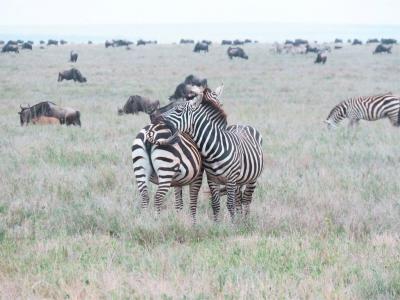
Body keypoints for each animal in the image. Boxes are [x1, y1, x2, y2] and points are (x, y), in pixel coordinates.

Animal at [149, 84, 262, 220]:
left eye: (178, 110)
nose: (154, 118)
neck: (214, 149)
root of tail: (241, 125)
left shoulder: (230, 179)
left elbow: (229, 204)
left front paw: (233, 224)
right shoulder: (212, 179)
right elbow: (215, 203)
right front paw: (218, 224)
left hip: (252, 178)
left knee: (246, 199)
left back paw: (245, 220)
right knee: (240, 199)